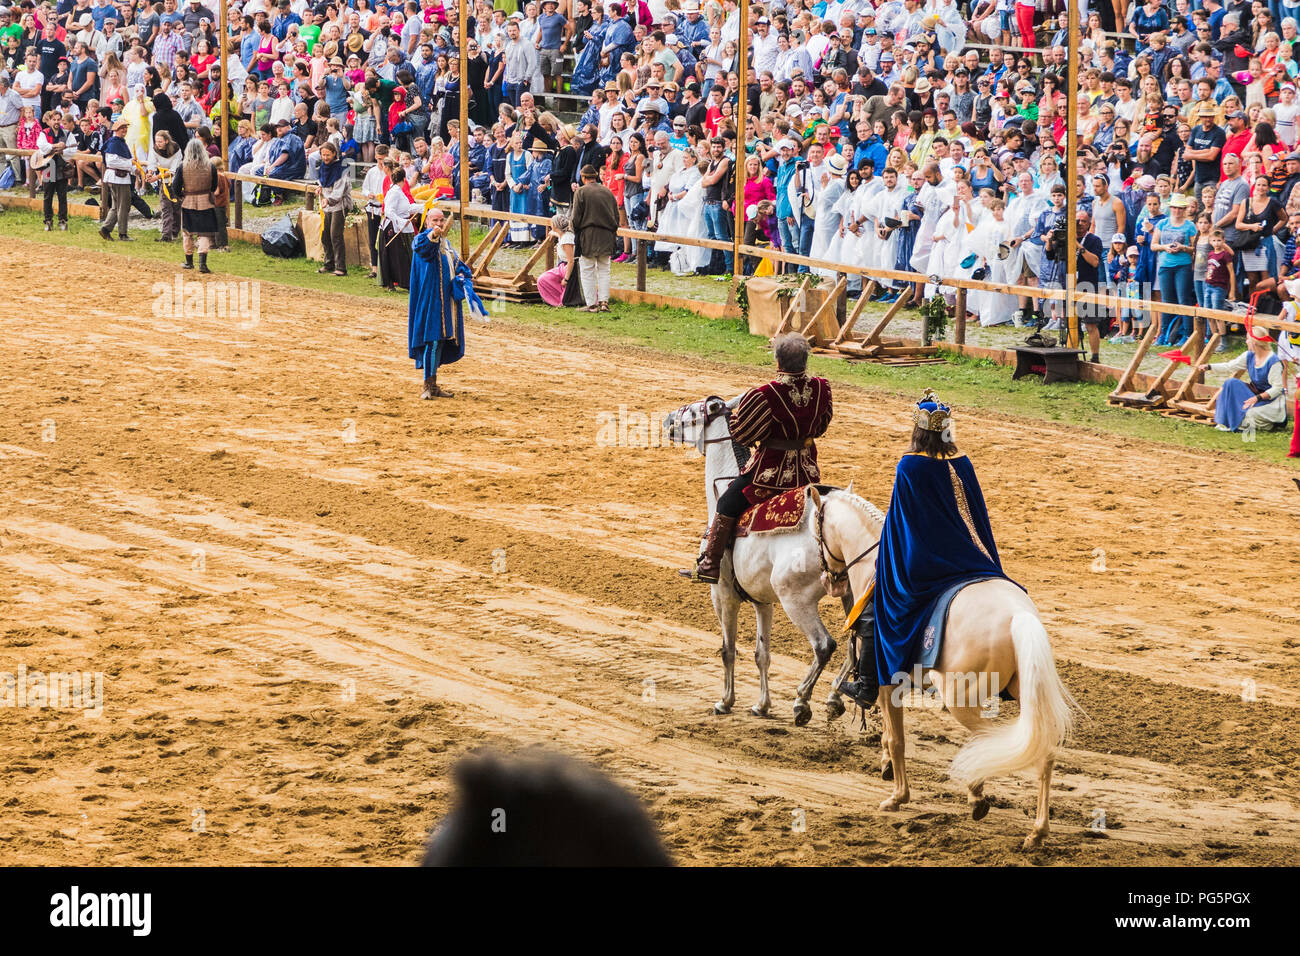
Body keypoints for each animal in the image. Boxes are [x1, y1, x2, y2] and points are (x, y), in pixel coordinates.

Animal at [660, 395, 883, 723]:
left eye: (692, 412)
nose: (668, 421)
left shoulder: (723, 595)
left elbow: (728, 649)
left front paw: (725, 701)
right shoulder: (762, 602)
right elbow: (761, 654)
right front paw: (762, 705)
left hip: (795, 599)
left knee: (824, 645)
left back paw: (803, 701)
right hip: (853, 596)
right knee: (857, 643)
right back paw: (833, 698)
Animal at [821, 509, 1086, 853]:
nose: (828, 580)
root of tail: (1018, 615)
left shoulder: (886, 683)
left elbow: (896, 739)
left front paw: (898, 797)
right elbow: (889, 736)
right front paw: (886, 767)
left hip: (961, 699)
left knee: (993, 742)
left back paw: (978, 796)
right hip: (1026, 695)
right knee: (1043, 751)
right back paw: (1036, 831)